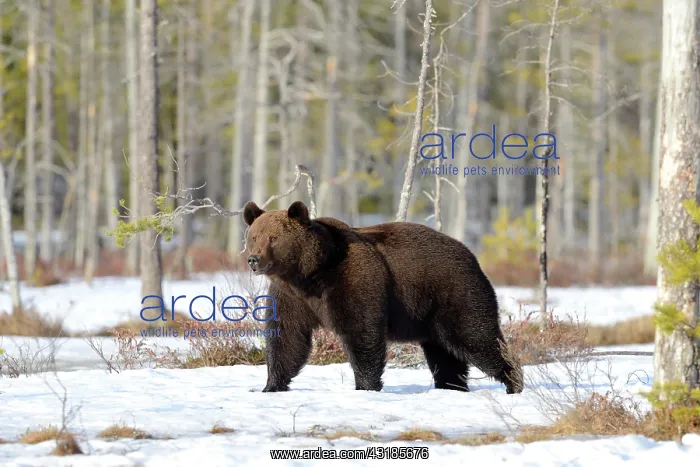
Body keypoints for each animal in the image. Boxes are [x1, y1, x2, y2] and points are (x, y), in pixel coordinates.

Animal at [242, 200, 524, 394]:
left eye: (273, 238)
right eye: (254, 236)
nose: (254, 260)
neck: (309, 274)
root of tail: (471, 255)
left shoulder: (351, 280)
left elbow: (361, 331)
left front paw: (365, 386)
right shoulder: (291, 297)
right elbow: (287, 338)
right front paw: (271, 385)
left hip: (455, 293)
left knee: (477, 338)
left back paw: (513, 382)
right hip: (432, 317)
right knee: (445, 354)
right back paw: (451, 386)